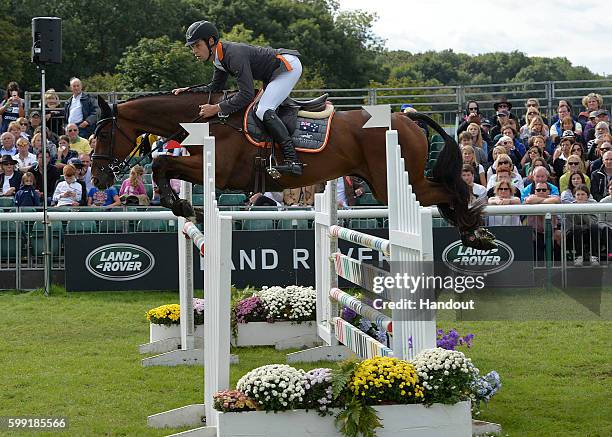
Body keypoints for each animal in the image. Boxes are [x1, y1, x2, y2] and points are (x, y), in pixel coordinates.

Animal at [92, 89, 498, 249]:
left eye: (103, 134)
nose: (97, 178)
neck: (205, 120)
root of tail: (407, 116)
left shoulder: (219, 172)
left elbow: (161, 162)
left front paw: (183, 205)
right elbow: (162, 165)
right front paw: (183, 206)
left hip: (393, 182)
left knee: (451, 192)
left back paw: (475, 233)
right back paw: (474, 231)